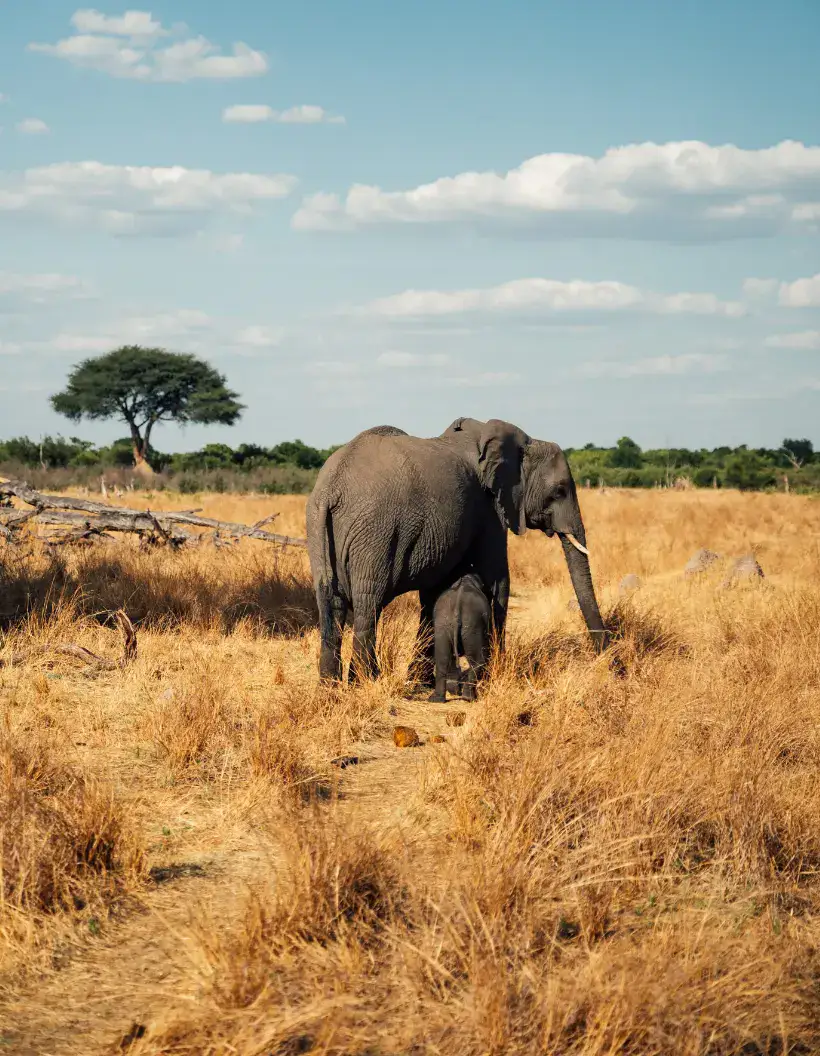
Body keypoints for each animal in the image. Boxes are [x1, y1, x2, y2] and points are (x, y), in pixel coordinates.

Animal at [306, 417, 608, 686]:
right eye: (559, 491)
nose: (609, 661)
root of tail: (331, 488)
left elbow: (434, 594)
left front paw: (420, 681)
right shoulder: (489, 509)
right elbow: (497, 579)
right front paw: (493, 676)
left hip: (319, 530)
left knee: (330, 603)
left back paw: (331, 689)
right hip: (375, 532)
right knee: (368, 603)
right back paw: (366, 683)